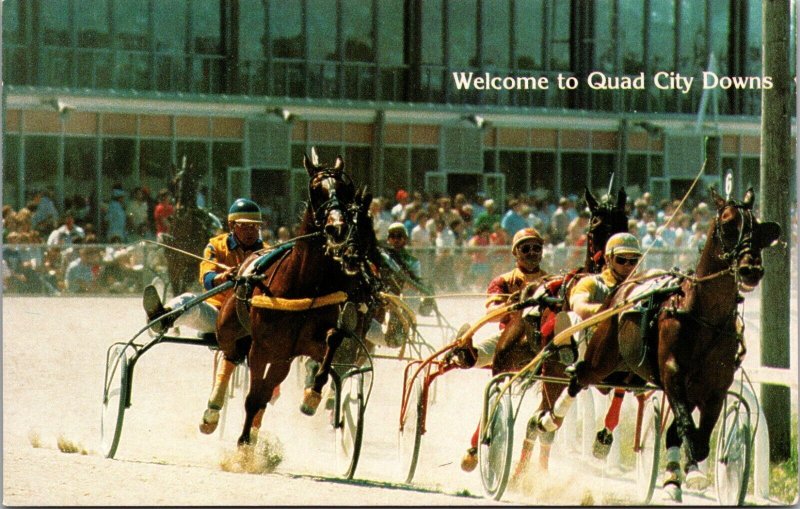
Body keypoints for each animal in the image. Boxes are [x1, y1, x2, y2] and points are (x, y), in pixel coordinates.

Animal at [214, 154, 380, 444]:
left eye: (345, 190)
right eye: (316, 190)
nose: (337, 229)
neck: (303, 284)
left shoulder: (308, 343)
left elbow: (333, 341)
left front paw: (312, 396)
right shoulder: (261, 347)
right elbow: (253, 397)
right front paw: (243, 444)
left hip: (283, 357)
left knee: (267, 386)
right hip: (231, 328)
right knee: (230, 355)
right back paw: (212, 411)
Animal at [564, 188, 780, 500]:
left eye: (759, 228)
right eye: (728, 224)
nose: (750, 269)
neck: (703, 315)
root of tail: (623, 289)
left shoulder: (714, 388)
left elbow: (695, 436)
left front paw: (684, 474)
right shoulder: (672, 373)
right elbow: (686, 426)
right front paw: (686, 474)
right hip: (600, 358)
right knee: (578, 378)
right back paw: (543, 424)